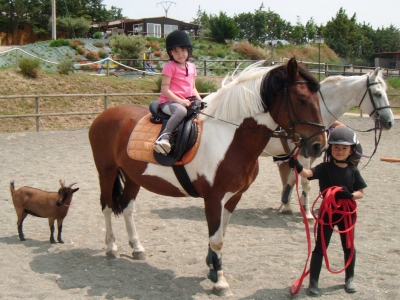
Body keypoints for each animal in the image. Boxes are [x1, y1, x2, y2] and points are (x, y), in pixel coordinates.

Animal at [89, 58, 326, 296]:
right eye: (302, 99)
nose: (319, 146)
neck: (229, 139)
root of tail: (105, 114)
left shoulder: (233, 197)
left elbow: (220, 233)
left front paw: (212, 267)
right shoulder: (213, 198)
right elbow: (217, 238)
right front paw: (219, 281)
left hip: (133, 177)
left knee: (127, 208)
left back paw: (137, 248)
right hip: (107, 171)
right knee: (107, 207)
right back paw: (111, 247)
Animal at [260, 68, 394, 223]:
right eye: (378, 94)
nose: (389, 122)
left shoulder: (301, 155)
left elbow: (293, 179)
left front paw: (286, 206)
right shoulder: (304, 155)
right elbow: (306, 183)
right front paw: (308, 214)